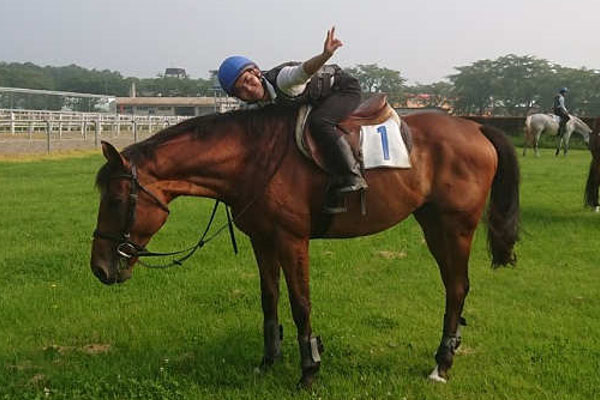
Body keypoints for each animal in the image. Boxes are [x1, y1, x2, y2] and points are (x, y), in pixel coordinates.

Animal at [90, 102, 520, 388]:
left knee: (457, 288)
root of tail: (476, 128)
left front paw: (309, 368)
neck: (252, 158)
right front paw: (268, 360)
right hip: (432, 222)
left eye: (115, 200)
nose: (99, 267)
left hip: (453, 228)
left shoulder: (291, 239)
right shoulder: (263, 241)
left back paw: (441, 363)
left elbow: (300, 304)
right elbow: (270, 299)